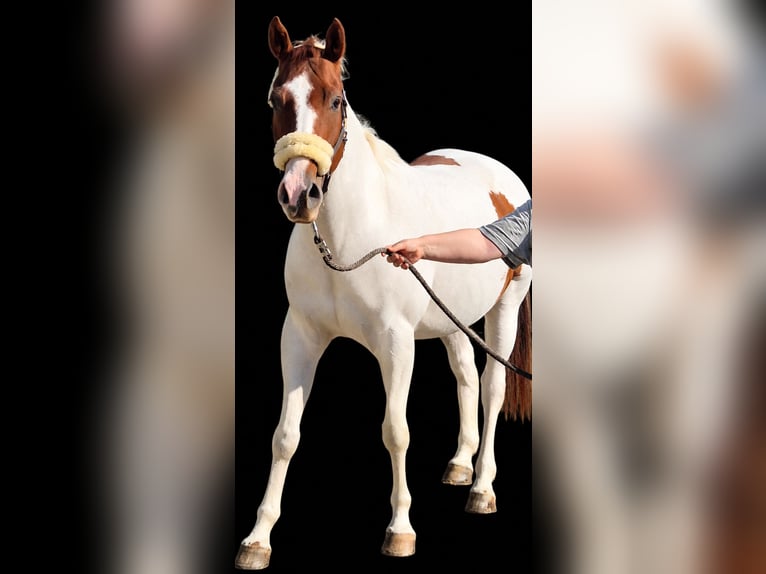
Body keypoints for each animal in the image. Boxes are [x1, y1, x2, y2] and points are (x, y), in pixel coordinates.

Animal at [235, 16, 532, 570]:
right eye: (274, 98)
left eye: (335, 100)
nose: (298, 194)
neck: (351, 238)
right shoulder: (300, 336)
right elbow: (285, 436)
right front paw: (258, 538)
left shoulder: (395, 345)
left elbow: (396, 431)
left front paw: (400, 531)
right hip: (451, 320)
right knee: (466, 379)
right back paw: (460, 466)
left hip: (505, 307)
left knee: (494, 387)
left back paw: (482, 488)